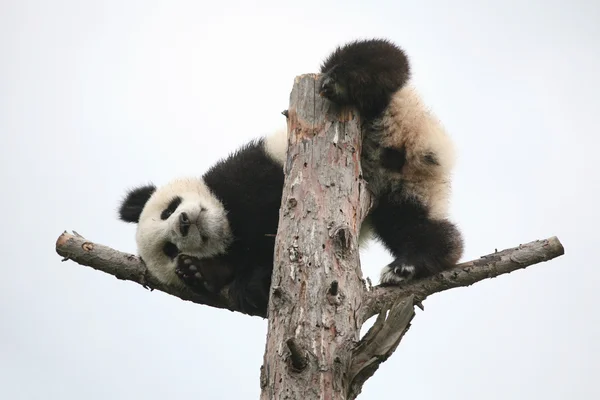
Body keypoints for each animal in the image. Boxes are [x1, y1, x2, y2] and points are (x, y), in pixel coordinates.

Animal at [117, 37, 464, 316]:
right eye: (170, 249)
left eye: (169, 209)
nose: (185, 222)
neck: (228, 222)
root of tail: (429, 148)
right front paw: (200, 272)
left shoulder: (250, 171)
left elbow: (268, 223)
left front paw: (243, 277)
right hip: (400, 190)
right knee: (412, 223)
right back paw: (412, 264)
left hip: (387, 106)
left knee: (377, 57)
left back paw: (342, 80)